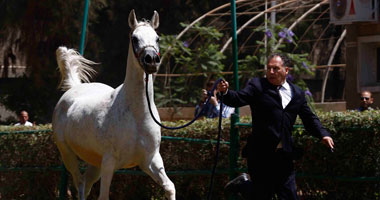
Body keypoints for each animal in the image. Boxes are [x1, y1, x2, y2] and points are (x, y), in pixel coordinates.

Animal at [52, 9, 175, 200]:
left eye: (157, 38)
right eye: (134, 38)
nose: (151, 60)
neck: (136, 114)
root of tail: (74, 87)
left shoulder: (150, 160)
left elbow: (170, 187)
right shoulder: (109, 163)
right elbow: (104, 196)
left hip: (94, 163)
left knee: (85, 184)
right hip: (68, 154)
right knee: (80, 184)